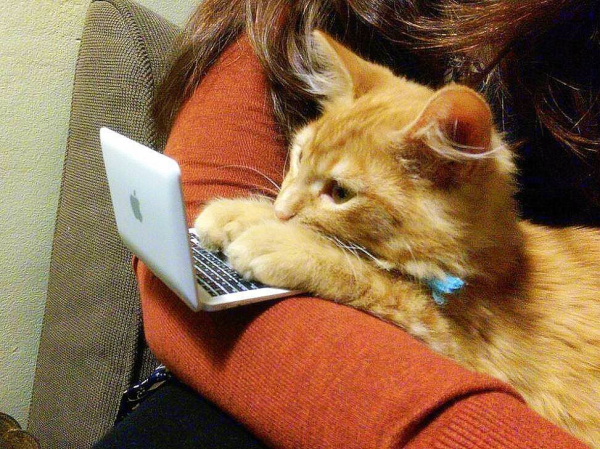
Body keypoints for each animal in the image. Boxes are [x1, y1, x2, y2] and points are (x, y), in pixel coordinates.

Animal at [197, 31, 600, 444]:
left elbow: (380, 279)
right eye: (298, 157)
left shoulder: (472, 354)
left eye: (340, 193)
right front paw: (242, 213)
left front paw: (283, 241)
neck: (500, 269)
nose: (281, 212)